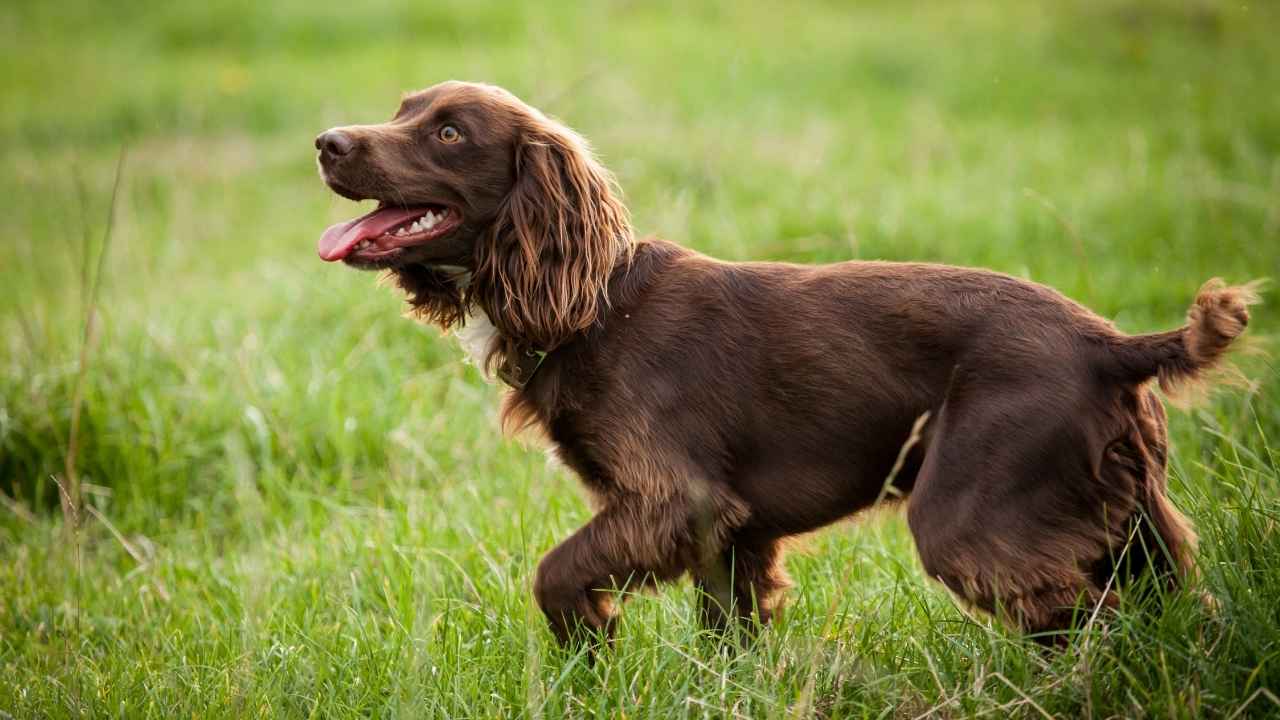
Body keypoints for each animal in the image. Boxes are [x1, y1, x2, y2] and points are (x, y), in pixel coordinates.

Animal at [314, 81, 1254, 640]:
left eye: (446, 131)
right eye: (401, 108)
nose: (326, 142)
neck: (594, 306)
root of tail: (1111, 345)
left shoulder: (674, 500)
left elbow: (554, 573)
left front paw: (592, 645)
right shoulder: (729, 533)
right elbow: (725, 636)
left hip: (973, 516)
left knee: (1090, 620)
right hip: (1132, 518)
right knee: (1174, 608)